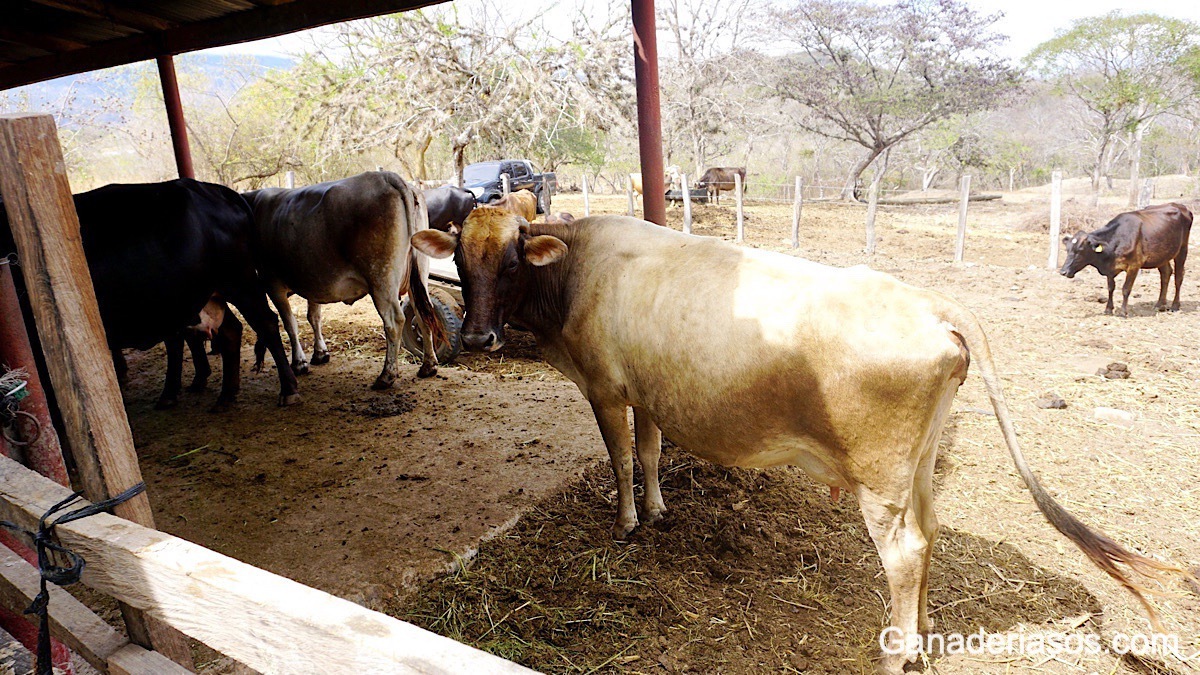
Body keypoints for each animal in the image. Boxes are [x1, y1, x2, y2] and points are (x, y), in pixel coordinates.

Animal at [0, 180, 300, 410]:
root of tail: (217, 190)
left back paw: (288, 389)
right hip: (207, 294)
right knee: (229, 332)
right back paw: (224, 395)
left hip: (239, 282)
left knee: (266, 323)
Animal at [242, 170, 446, 386]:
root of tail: (388, 177)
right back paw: (428, 366)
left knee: (394, 321)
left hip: (381, 280)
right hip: (418, 276)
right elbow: (314, 317)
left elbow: (290, 324)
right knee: (424, 313)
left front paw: (299, 363)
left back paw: (386, 375)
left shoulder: (272, 282)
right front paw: (320, 354)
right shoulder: (313, 281)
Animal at [1060, 201, 1190, 314]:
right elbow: (1111, 288)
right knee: (1166, 274)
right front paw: (1108, 309)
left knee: (1178, 277)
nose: (1063, 272)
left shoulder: (1134, 266)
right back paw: (1160, 304)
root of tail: (1180, 206)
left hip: (1182, 249)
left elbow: (1126, 289)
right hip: (1162, 255)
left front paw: (1123, 312)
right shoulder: (1110, 269)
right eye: (1067, 249)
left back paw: (1175, 306)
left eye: (1080, 251)